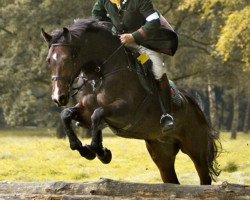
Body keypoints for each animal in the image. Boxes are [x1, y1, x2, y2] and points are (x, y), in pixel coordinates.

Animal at [42, 18, 220, 184]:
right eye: (49, 60)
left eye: (68, 58)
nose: (58, 97)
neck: (99, 75)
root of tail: (195, 106)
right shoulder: (85, 112)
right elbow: (67, 115)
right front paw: (85, 150)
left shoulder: (125, 112)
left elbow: (98, 114)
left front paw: (100, 152)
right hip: (162, 153)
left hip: (196, 150)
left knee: (204, 177)